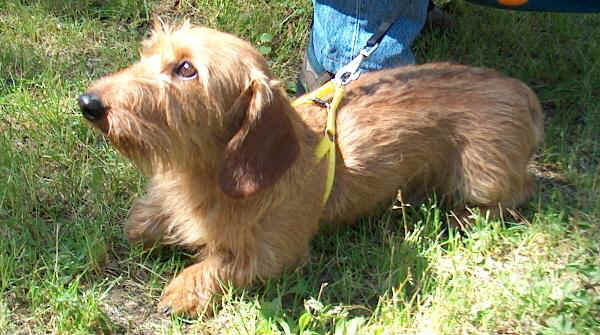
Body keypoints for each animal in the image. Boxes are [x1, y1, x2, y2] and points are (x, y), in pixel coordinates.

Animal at [78, 22, 544, 316]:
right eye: (148, 54)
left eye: (187, 68)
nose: (88, 103)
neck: (207, 173)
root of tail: (520, 92)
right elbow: (141, 225)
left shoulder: (275, 253)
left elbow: (222, 263)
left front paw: (183, 288)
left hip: (483, 178)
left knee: (519, 191)